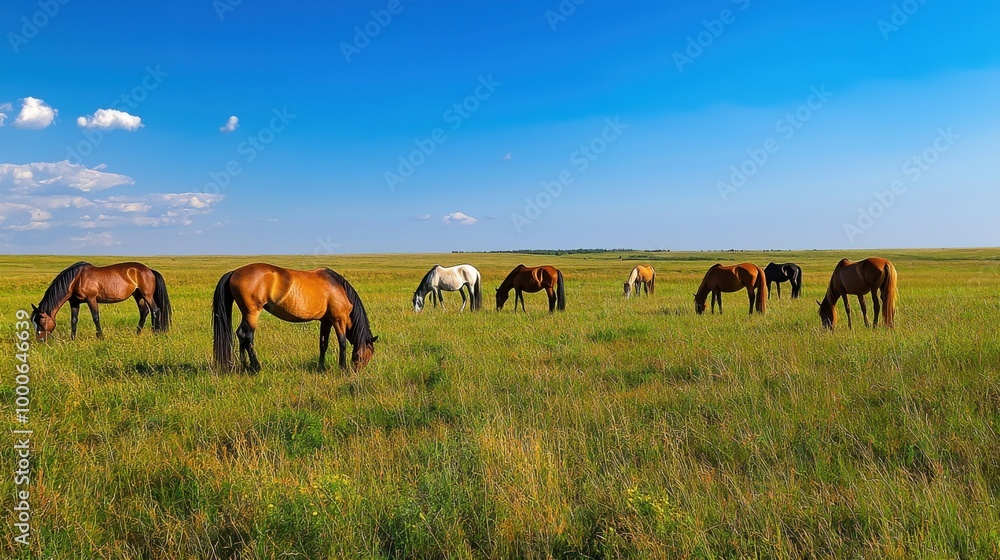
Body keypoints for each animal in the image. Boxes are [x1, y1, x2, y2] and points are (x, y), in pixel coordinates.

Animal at [30, 261, 171, 341]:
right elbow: (74, 320)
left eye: (41, 320)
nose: (40, 340)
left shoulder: (91, 299)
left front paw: (100, 337)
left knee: (155, 310)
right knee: (144, 311)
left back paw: (156, 333)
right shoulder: (74, 303)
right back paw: (138, 333)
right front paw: (72, 339)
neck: (76, 279)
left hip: (146, 295)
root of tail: (149, 270)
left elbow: (95, 317)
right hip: (138, 295)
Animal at [212, 263, 377, 372]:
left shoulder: (326, 321)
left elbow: (323, 344)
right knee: (247, 336)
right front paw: (342, 367)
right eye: (369, 353)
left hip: (247, 313)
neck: (337, 287)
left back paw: (245, 365)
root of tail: (235, 272)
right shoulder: (338, 320)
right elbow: (342, 343)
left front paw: (321, 367)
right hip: (252, 313)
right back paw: (256, 367)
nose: (357, 370)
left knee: (241, 335)